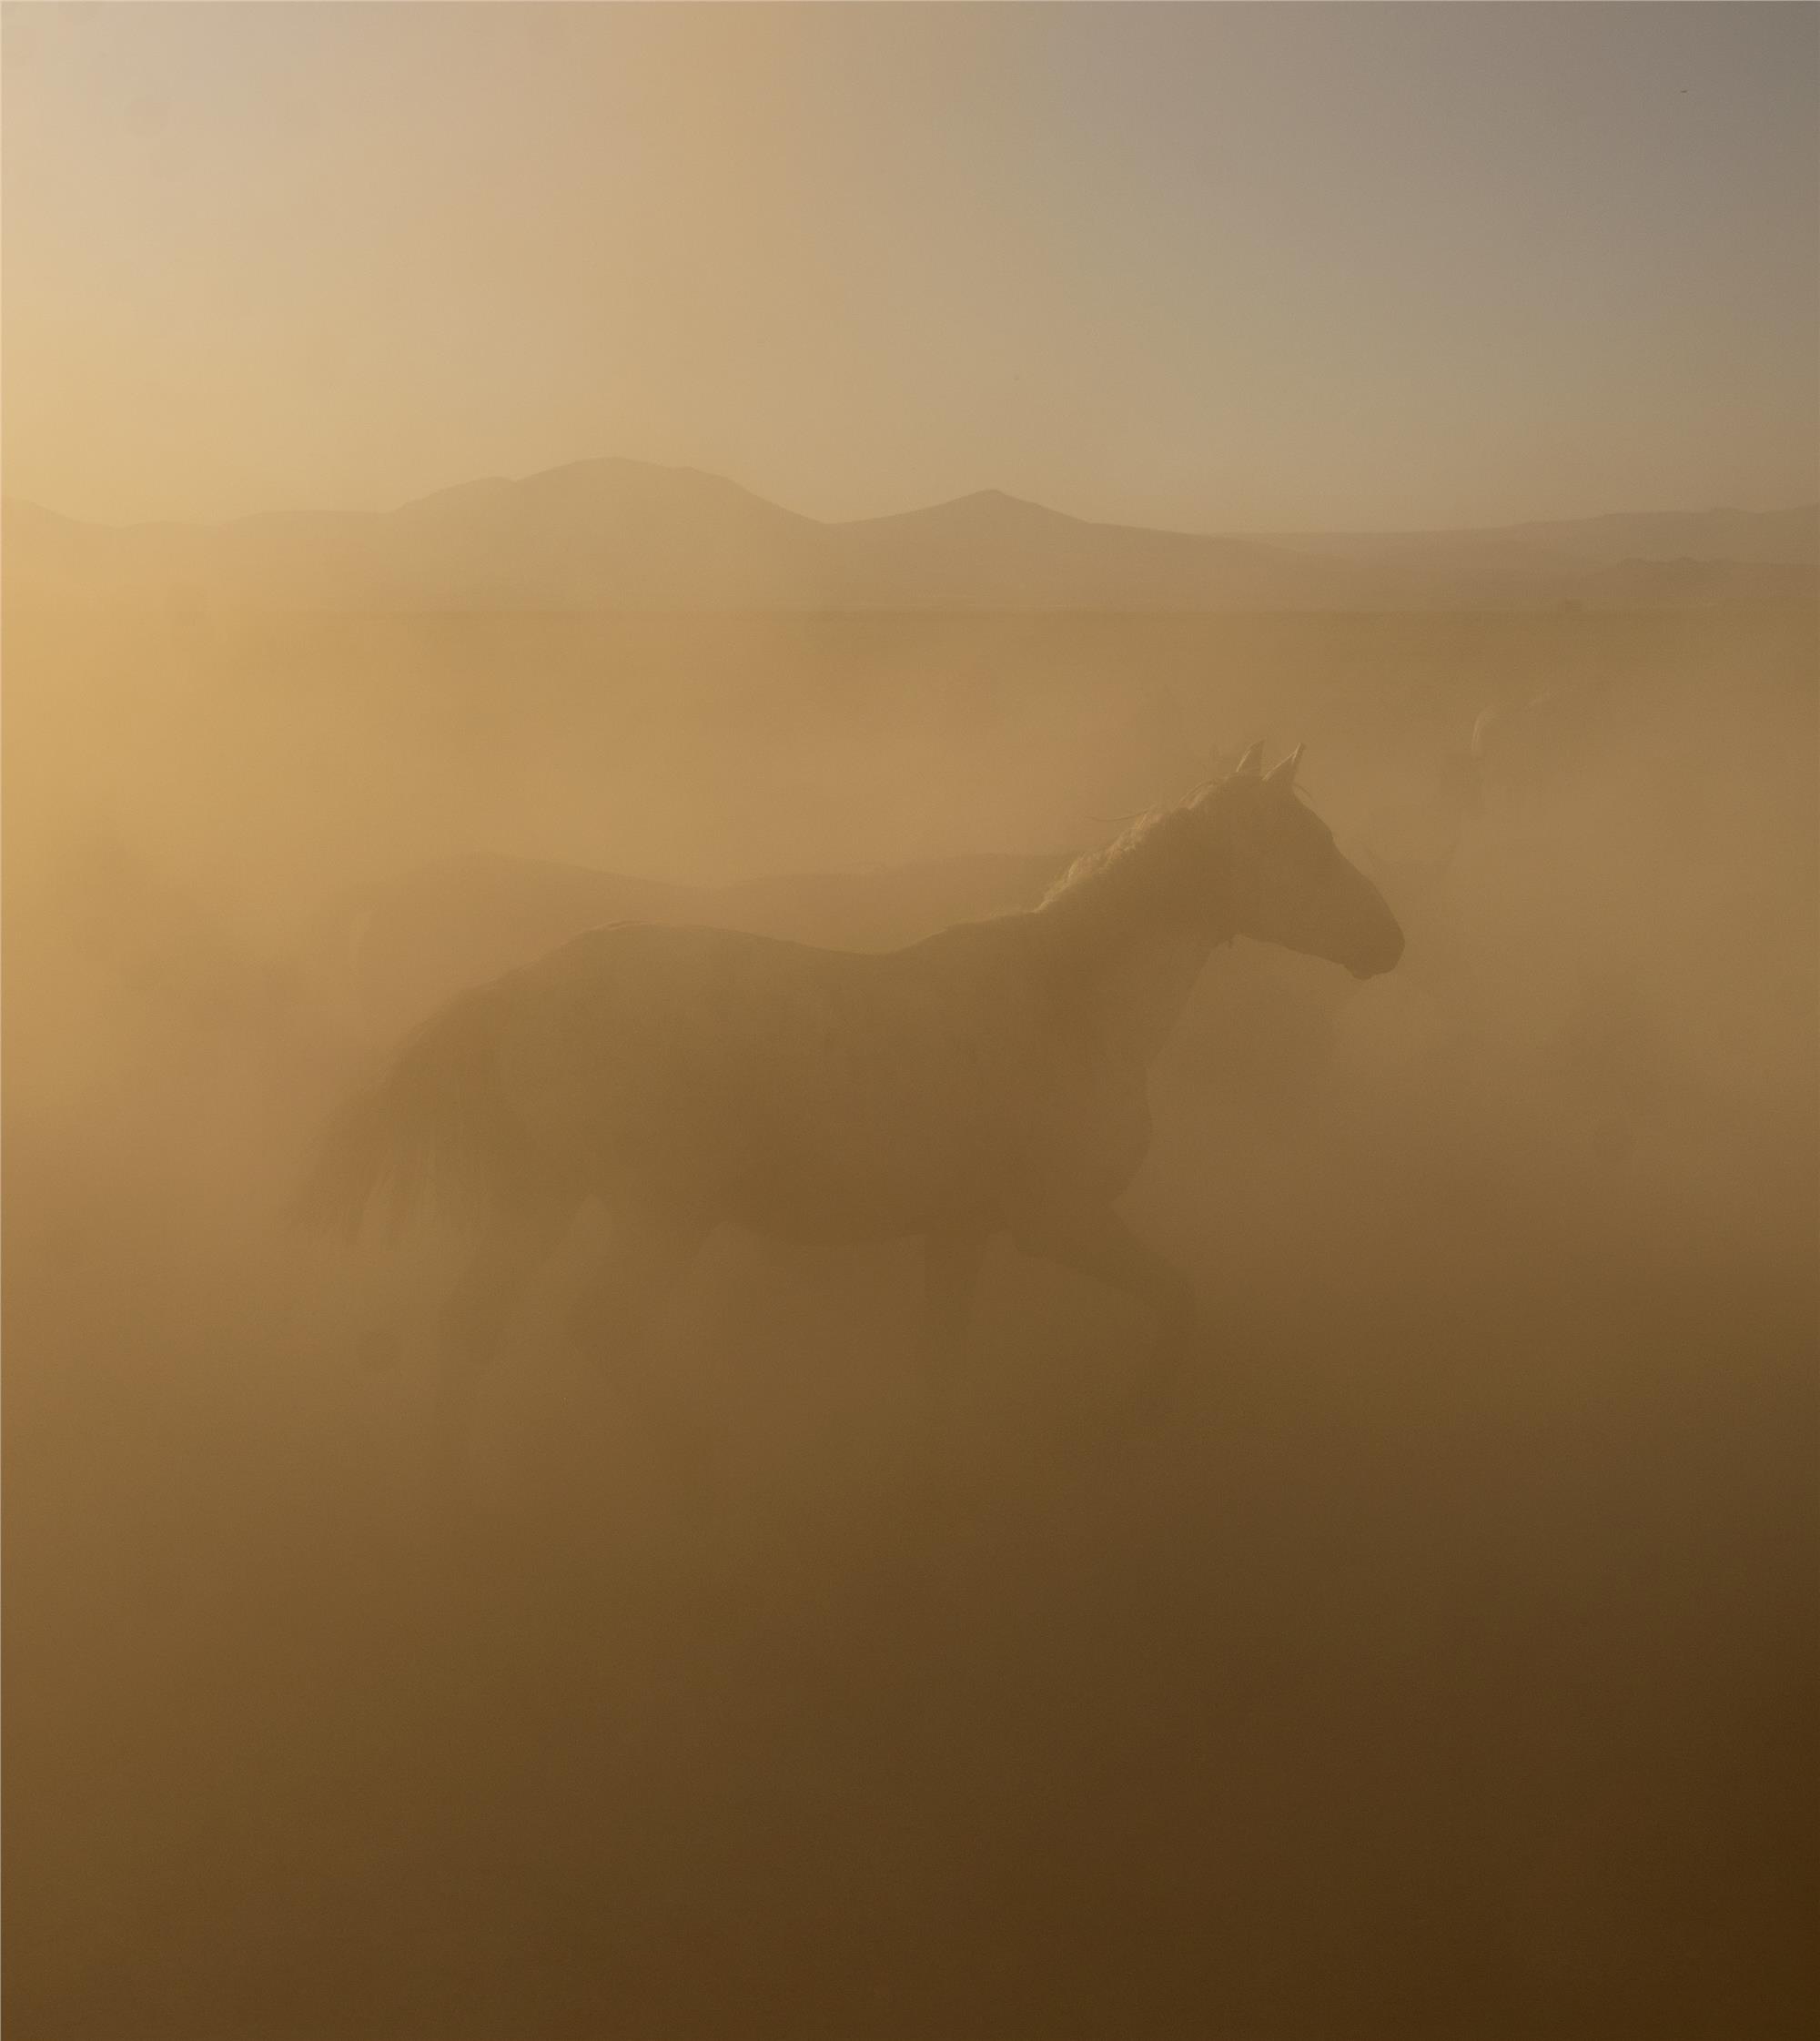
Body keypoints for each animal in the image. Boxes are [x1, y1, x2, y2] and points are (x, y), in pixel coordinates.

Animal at [296, 743, 1403, 1477]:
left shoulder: (962, 1229)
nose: (1388, 939)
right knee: (599, 1323)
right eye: (1303, 846)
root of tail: (524, 987)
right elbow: (1176, 1298)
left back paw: (460, 1490)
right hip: (661, 1211)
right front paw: (1130, 1417)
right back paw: (704, 1463)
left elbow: (940, 1359)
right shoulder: (1060, 1222)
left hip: (545, 1198)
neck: (1072, 1003)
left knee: (473, 1325)